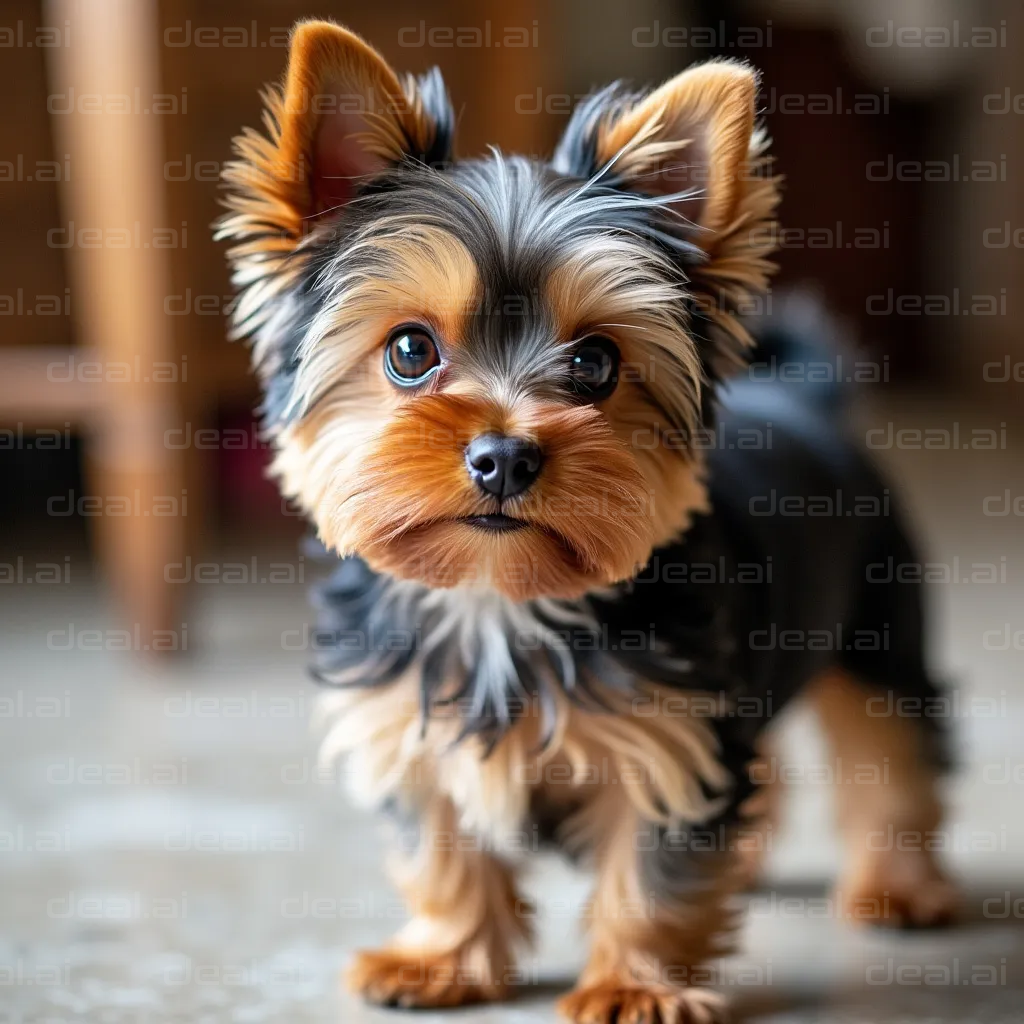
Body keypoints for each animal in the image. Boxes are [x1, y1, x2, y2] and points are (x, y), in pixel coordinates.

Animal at [218, 19, 958, 1019]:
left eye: (597, 363)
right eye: (410, 350)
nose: (504, 456)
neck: (497, 599)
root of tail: (809, 398)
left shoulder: (668, 735)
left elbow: (651, 875)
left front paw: (635, 986)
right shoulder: (408, 728)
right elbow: (440, 853)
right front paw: (441, 958)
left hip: (880, 628)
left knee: (895, 747)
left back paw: (899, 887)